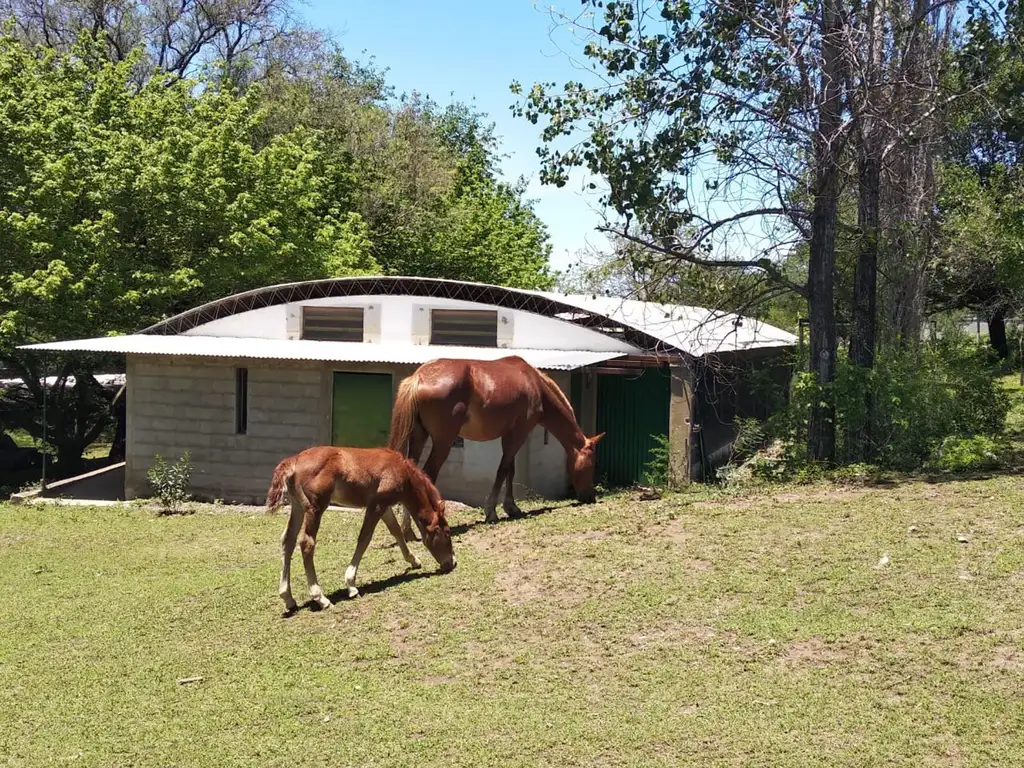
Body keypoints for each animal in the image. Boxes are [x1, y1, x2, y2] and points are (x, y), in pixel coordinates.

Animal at [266, 444, 454, 614]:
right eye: (447, 532)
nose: (452, 563)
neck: (402, 472)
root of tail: (294, 460)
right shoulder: (376, 505)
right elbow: (365, 538)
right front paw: (351, 585)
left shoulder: (385, 506)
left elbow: (396, 531)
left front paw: (414, 561)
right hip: (315, 508)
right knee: (307, 543)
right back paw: (321, 598)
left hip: (297, 507)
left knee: (288, 541)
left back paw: (288, 598)